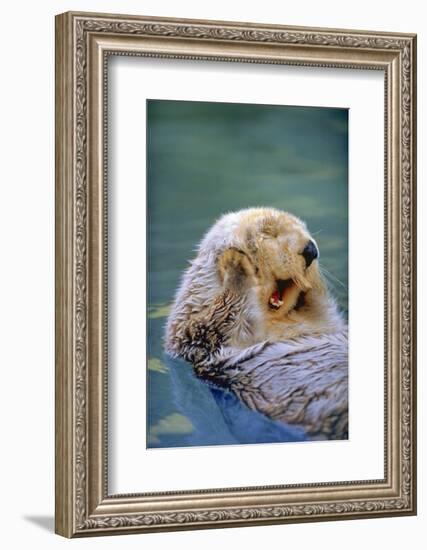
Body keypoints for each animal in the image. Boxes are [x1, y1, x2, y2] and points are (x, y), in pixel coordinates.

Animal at [166, 209, 350, 442]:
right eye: (268, 233)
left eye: (305, 230)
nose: (311, 249)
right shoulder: (198, 334)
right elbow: (222, 316)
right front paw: (234, 261)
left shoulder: (323, 322)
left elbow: (323, 311)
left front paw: (314, 283)